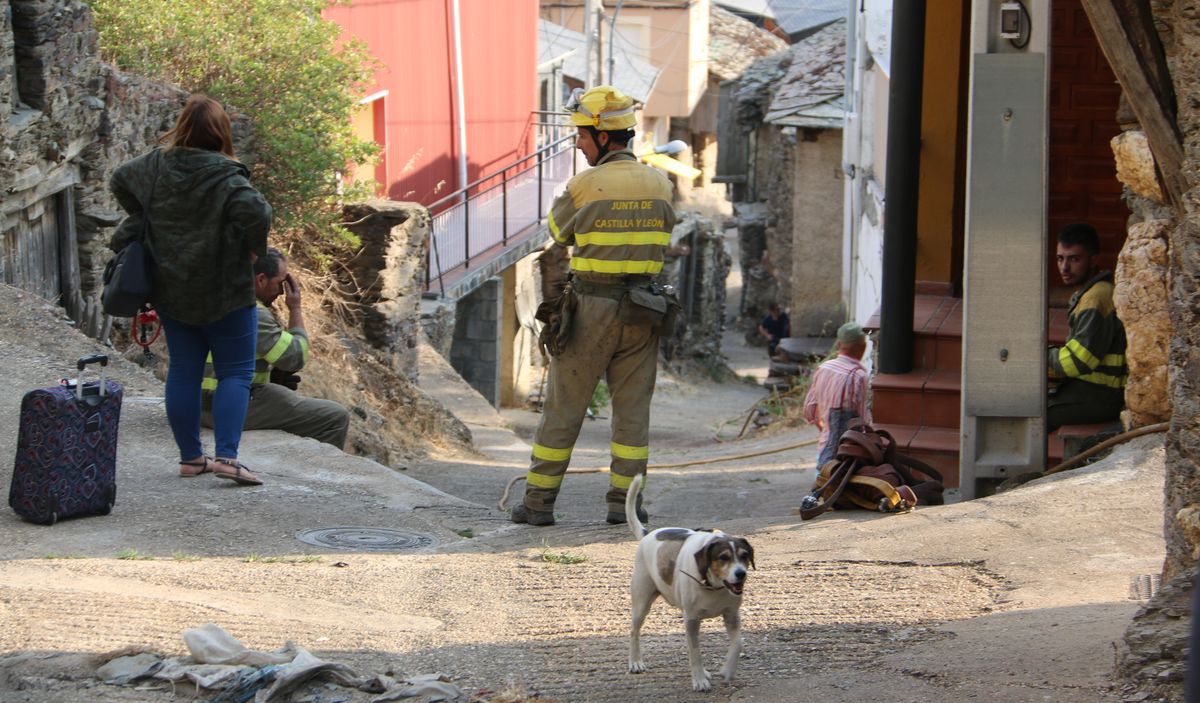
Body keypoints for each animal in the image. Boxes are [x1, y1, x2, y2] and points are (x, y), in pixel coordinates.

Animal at [624, 470, 753, 691]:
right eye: (723, 557)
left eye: (744, 556)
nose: (741, 574)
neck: (712, 586)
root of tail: (648, 535)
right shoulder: (691, 620)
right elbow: (695, 652)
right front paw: (699, 680)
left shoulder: (732, 615)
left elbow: (738, 644)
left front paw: (727, 670)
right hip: (641, 603)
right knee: (634, 631)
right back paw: (635, 662)